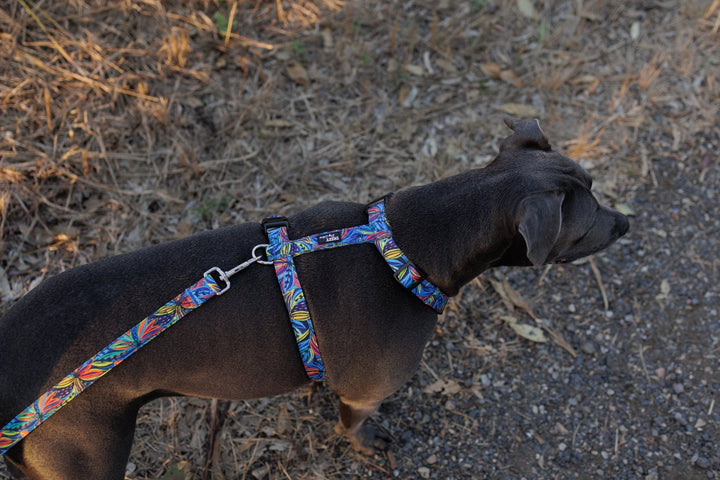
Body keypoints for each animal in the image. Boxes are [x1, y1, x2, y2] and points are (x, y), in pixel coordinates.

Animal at [0, 118, 632, 478]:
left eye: (596, 187)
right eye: (583, 226)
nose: (626, 223)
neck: (405, 245)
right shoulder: (363, 388)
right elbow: (353, 422)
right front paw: (368, 441)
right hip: (86, 456)